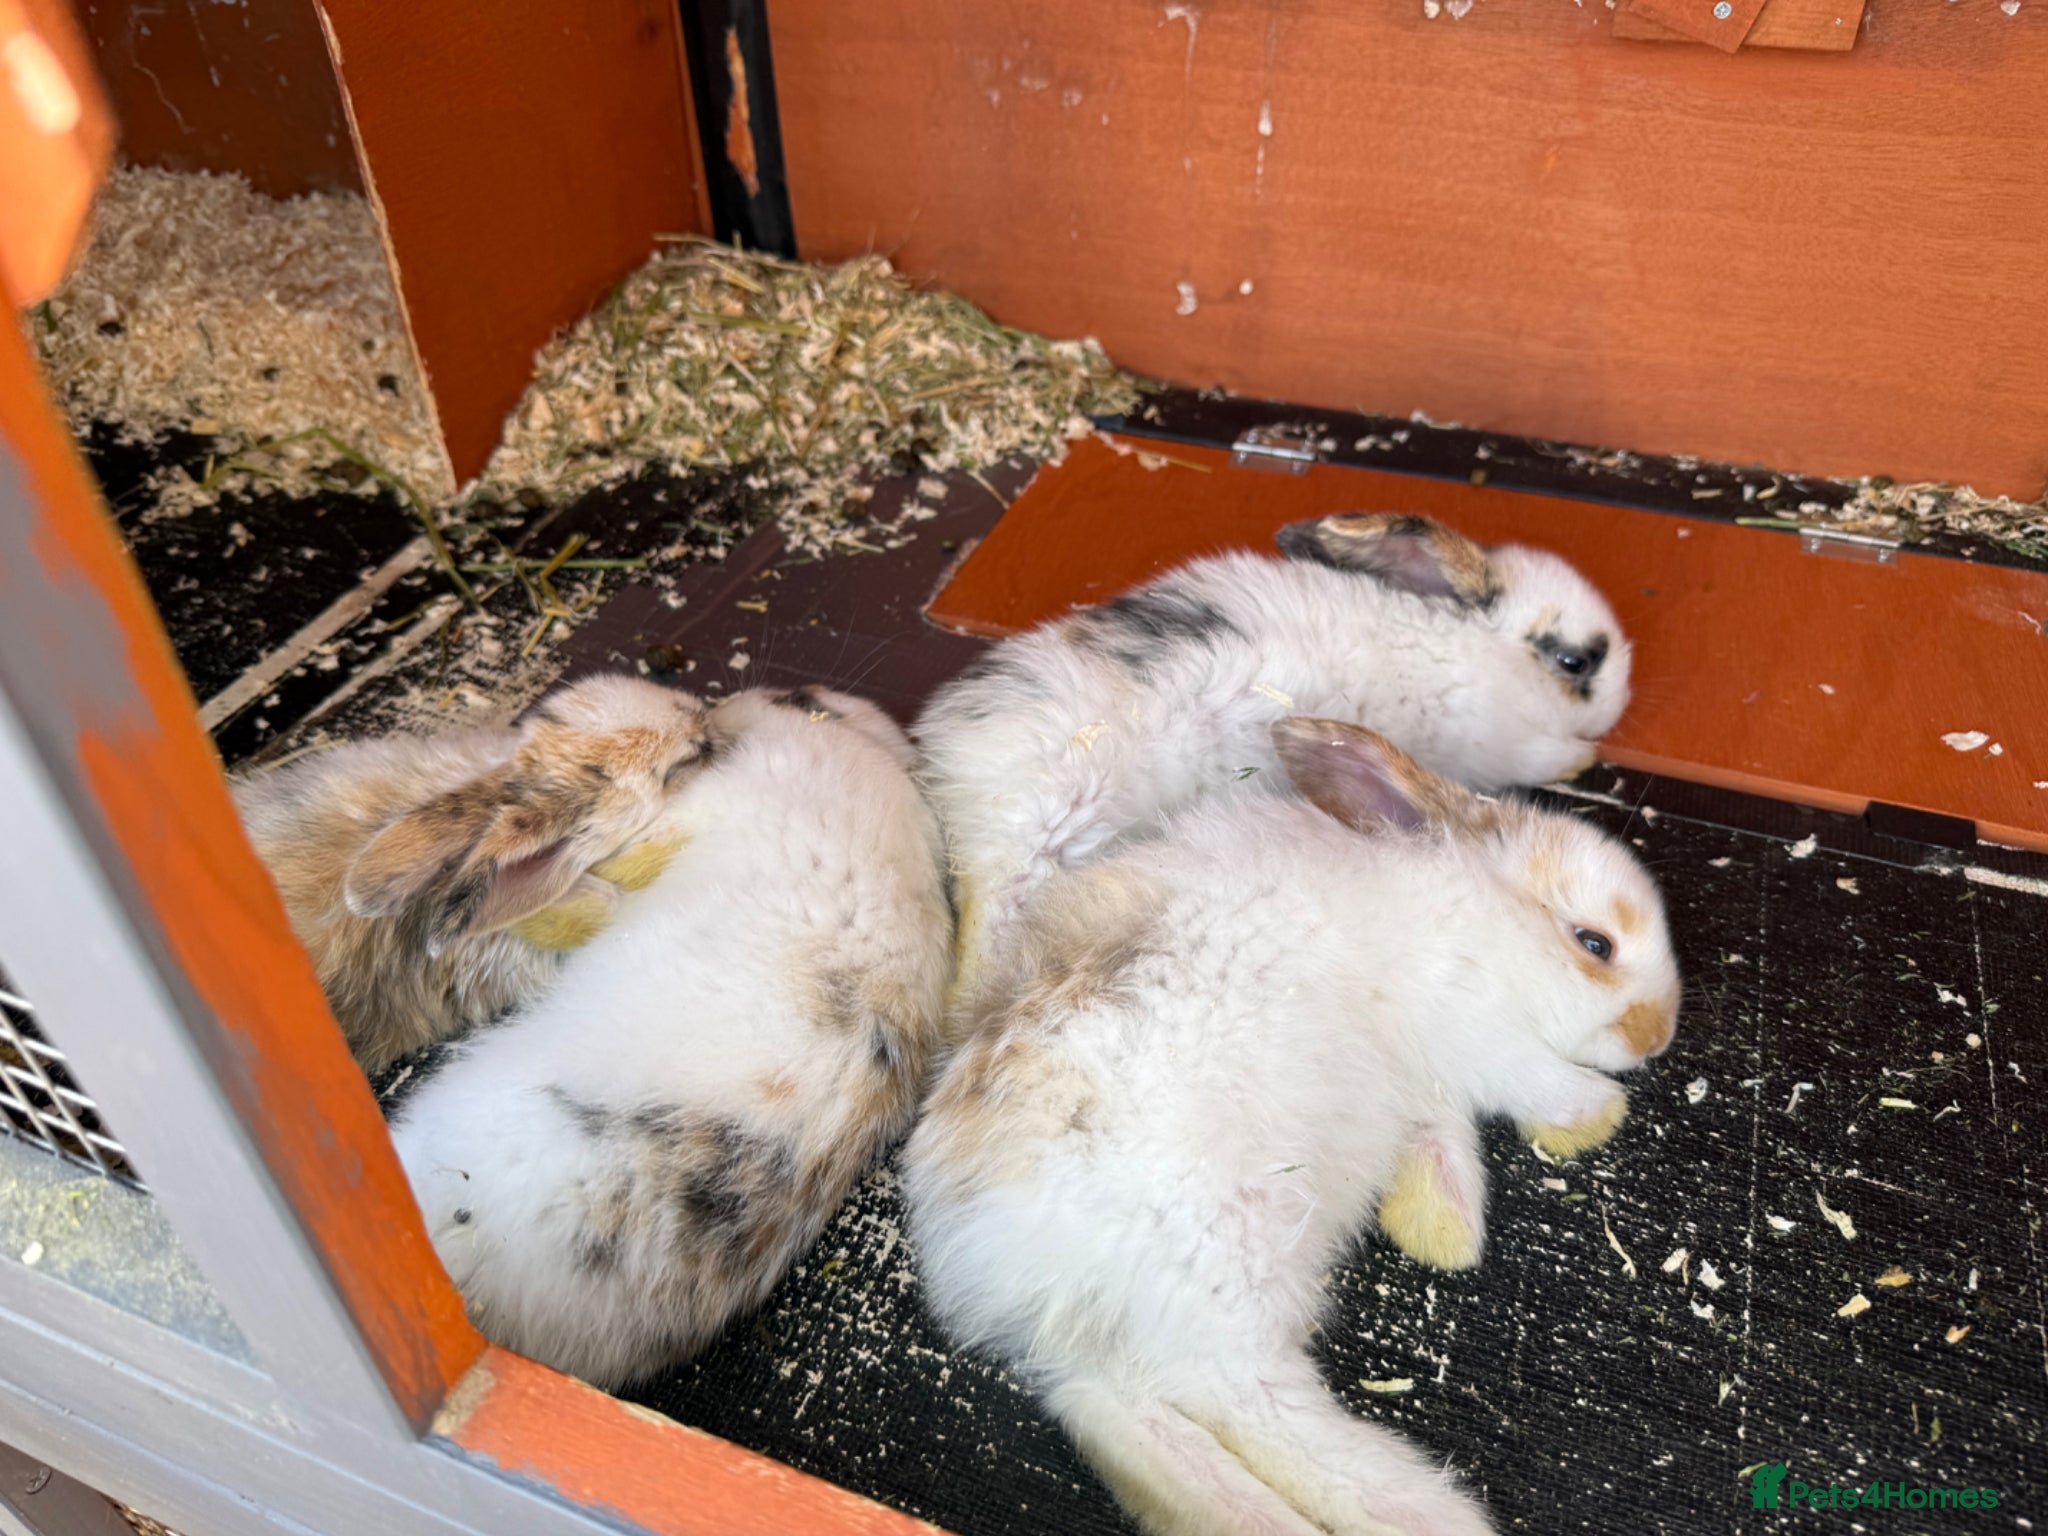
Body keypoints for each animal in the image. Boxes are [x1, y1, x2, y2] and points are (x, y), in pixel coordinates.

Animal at [900, 716, 1680, 1536]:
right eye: (1595, 942)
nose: (1657, 1037)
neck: (1467, 917)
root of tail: (998, 1267)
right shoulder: (1472, 1028)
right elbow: (1531, 1079)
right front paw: (1599, 1112)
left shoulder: (1425, 1083)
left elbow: (1444, 1140)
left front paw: (1446, 1236)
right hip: (1229, 1261)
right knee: (1242, 1403)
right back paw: (1412, 1511)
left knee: (1111, 1411)